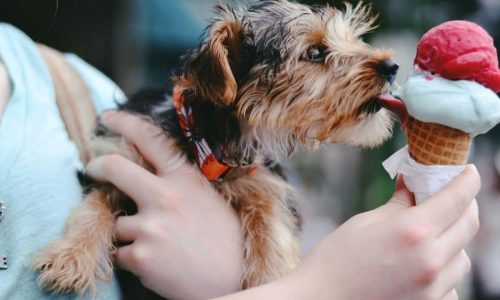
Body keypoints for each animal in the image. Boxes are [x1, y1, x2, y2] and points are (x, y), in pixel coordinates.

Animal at [32, 0, 398, 296]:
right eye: (316, 53)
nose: (391, 67)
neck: (207, 142)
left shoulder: (263, 181)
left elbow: (272, 223)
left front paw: (272, 275)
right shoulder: (118, 157)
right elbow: (94, 206)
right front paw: (70, 256)